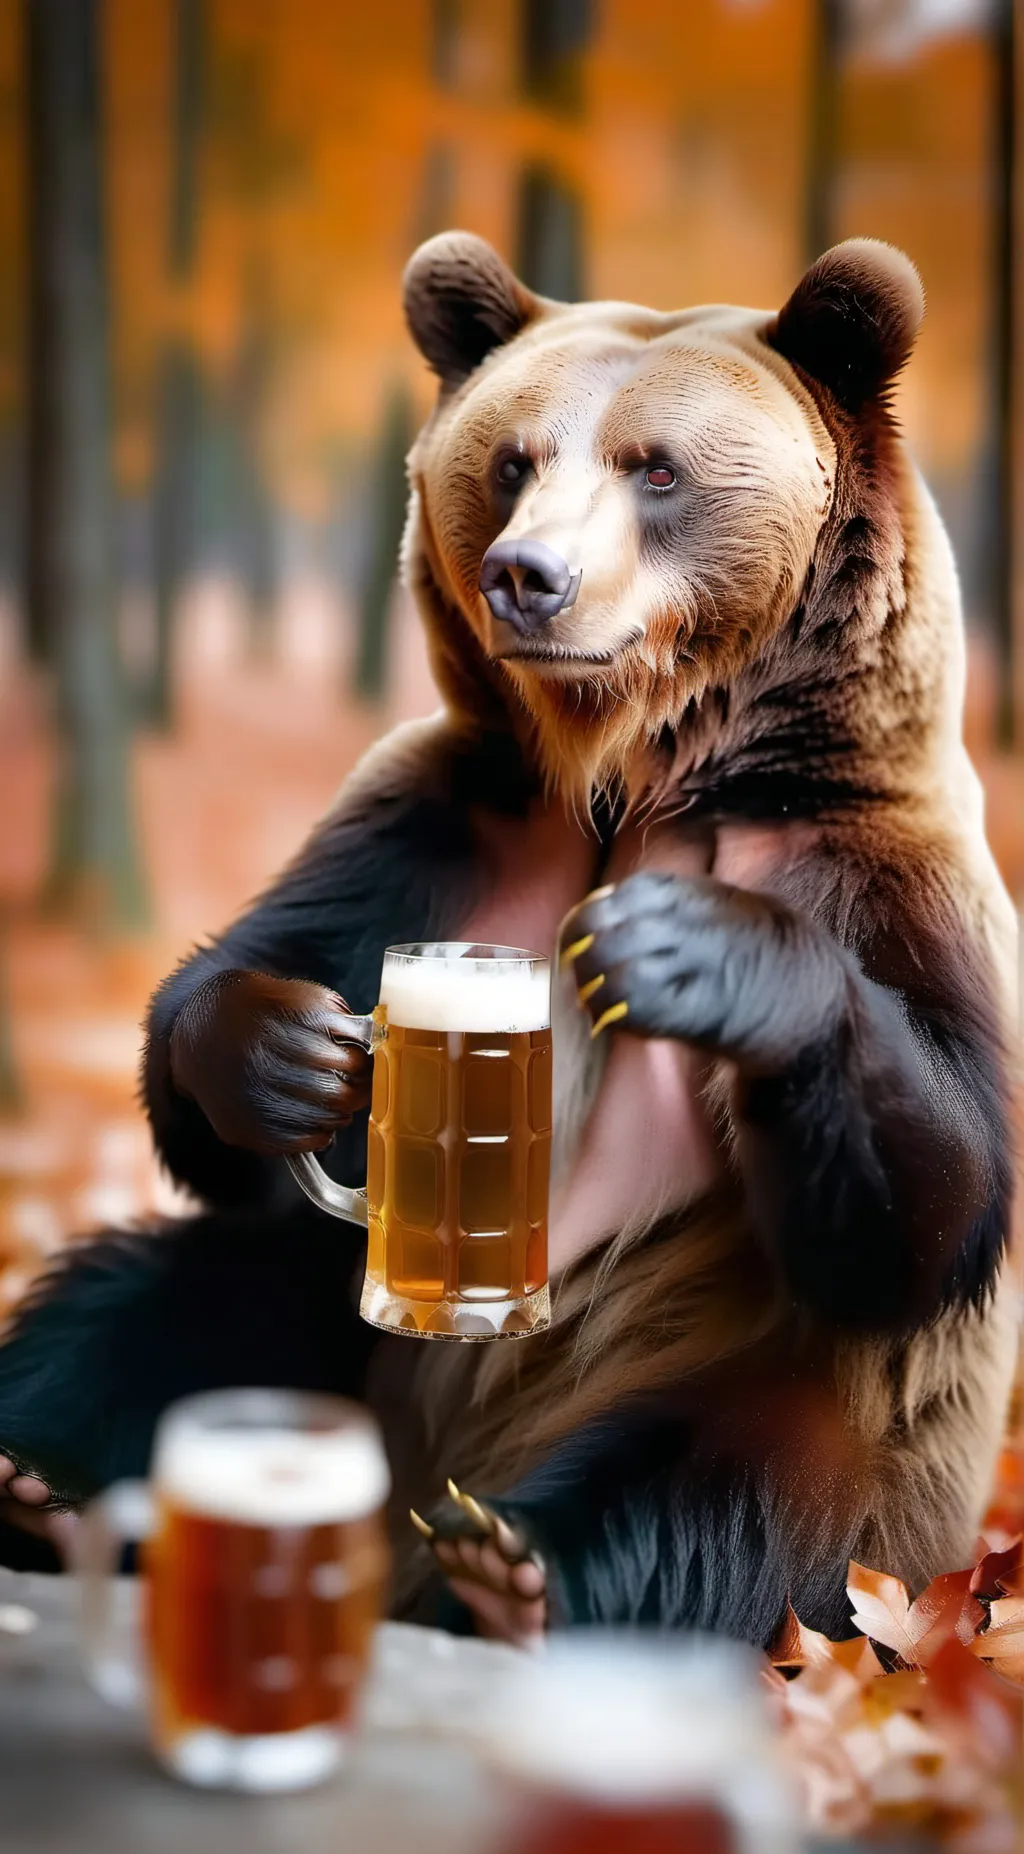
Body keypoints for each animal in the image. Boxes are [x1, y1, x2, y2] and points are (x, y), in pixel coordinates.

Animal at [0, 232, 1016, 1650]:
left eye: (656, 467)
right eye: (512, 461)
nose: (528, 577)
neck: (630, 778)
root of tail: (408, 1501)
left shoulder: (869, 865)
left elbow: (931, 1195)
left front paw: (694, 957)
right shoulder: (447, 830)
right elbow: (226, 1034)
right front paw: (281, 1054)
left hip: (787, 1424)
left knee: (734, 1497)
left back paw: (512, 1570)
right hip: (337, 1330)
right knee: (153, 1302)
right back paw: (38, 1477)